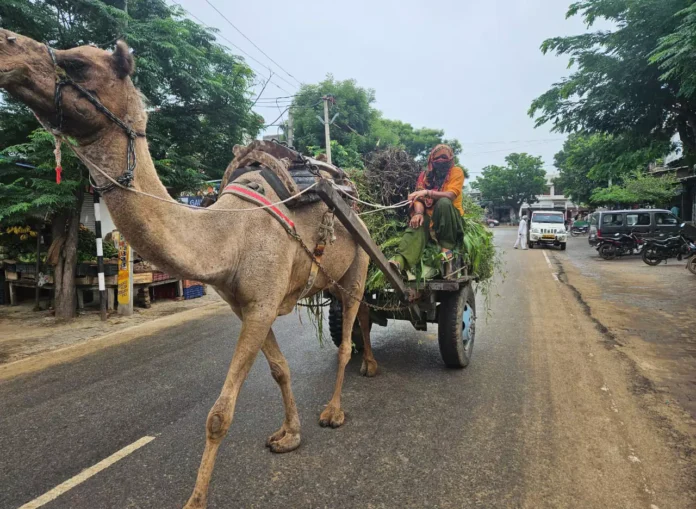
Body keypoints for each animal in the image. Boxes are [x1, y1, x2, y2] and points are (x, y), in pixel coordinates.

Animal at [1, 29, 380, 506]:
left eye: (79, 64)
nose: (5, 45)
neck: (227, 234)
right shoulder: (248, 305)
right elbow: (279, 369)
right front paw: (289, 435)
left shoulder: (260, 306)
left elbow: (219, 414)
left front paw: (194, 499)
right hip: (332, 276)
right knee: (362, 315)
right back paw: (370, 366)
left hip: (359, 261)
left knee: (349, 329)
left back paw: (334, 409)